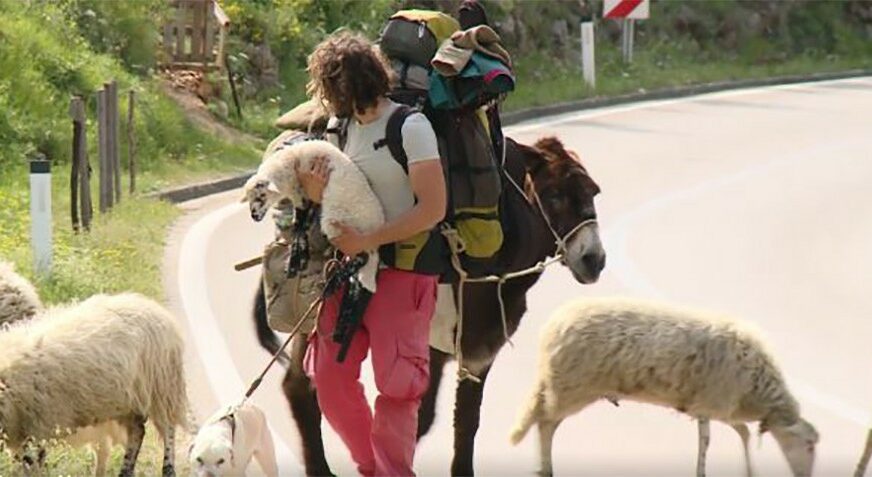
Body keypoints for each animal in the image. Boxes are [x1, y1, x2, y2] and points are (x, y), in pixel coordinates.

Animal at [0, 292, 189, 474]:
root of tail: (155, 308)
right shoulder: (19, 431)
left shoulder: (38, 426)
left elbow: (32, 462)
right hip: (126, 402)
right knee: (137, 433)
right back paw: (126, 471)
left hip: (162, 389)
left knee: (168, 430)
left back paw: (168, 469)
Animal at [242, 139, 384, 290]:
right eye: (249, 198)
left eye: (261, 197)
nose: (254, 216)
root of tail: (376, 227)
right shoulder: (304, 197)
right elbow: (301, 227)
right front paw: (301, 260)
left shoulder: (304, 195)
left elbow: (299, 228)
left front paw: (294, 264)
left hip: (340, 224)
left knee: (363, 256)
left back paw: (333, 283)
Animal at [510, 298, 816, 476]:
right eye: (810, 445)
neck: (759, 389)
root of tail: (551, 328)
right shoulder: (713, 401)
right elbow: (716, 439)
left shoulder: (713, 406)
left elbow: (739, 433)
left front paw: (748, 469)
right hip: (571, 388)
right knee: (545, 422)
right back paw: (545, 469)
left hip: (568, 387)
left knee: (547, 421)